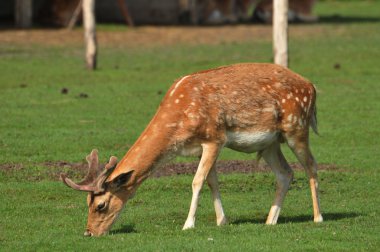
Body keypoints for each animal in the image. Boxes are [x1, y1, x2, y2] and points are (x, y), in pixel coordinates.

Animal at [60, 63, 322, 236]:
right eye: (87, 203)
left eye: (100, 205)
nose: (88, 233)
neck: (179, 122)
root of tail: (312, 87)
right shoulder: (199, 147)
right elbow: (211, 181)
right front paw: (222, 221)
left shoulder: (215, 137)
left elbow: (197, 181)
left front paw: (188, 224)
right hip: (269, 143)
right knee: (286, 173)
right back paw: (270, 220)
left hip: (296, 127)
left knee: (311, 166)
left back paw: (318, 217)